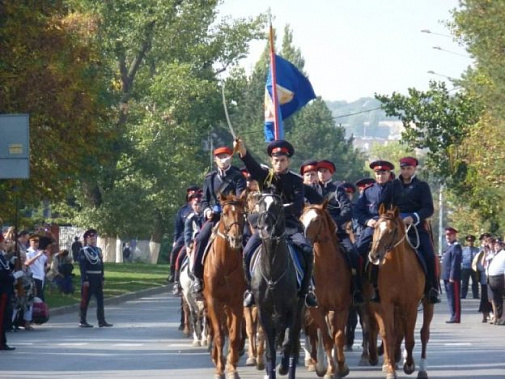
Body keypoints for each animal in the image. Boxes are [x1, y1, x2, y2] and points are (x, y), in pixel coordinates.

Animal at [252, 194, 304, 379]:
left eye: (278, 206)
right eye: (260, 203)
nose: (265, 227)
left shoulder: (292, 310)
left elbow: (288, 343)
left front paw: (283, 368)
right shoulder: (264, 311)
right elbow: (270, 350)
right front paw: (272, 371)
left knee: (292, 343)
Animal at [300, 202, 350, 379]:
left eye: (316, 219)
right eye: (301, 219)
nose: (305, 239)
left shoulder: (342, 307)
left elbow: (339, 337)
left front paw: (341, 366)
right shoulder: (317, 308)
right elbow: (327, 339)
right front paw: (329, 370)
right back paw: (319, 364)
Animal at [366, 205, 434, 379]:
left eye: (391, 231)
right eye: (375, 227)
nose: (374, 255)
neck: (399, 268)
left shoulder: (410, 306)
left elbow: (410, 338)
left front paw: (409, 365)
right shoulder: (386, 305)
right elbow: (389, 335)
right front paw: (391, 369)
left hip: (427, 304)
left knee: (424, 333)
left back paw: (422, 368)